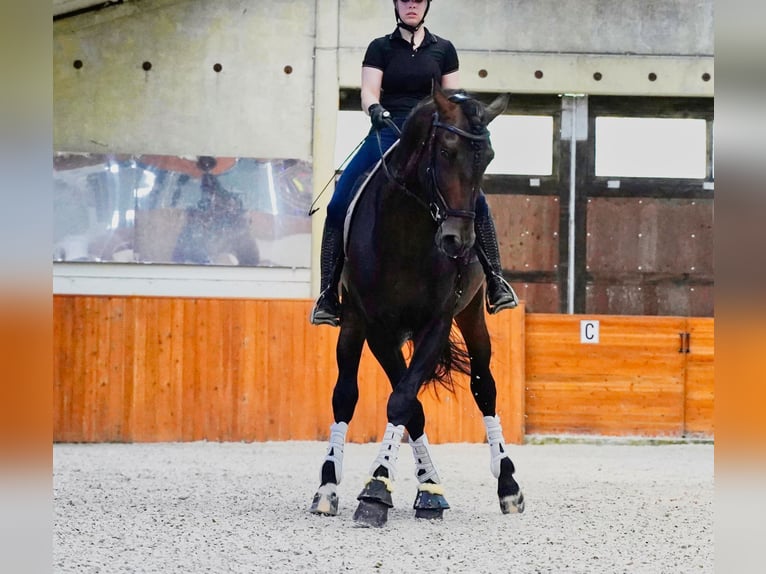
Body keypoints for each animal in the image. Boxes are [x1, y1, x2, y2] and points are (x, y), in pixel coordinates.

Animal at [308, 85, 524, 532]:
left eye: (488, 157)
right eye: (445, 150)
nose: (458, 241)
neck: (408, 226)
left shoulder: (437, 323)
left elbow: (405, 401)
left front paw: (387, 490)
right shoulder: (377, 328)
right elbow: (405, 406)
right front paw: (383, 489)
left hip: (473, 315)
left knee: (485, 388)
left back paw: (508, 486)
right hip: (352, 324)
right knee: (347, 395)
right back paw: (336, 487)